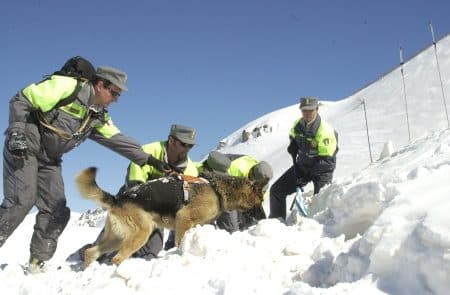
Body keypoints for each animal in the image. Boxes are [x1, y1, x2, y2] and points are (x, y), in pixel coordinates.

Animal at [75, 168, 268, 268]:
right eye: (260, 201)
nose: (265, 218)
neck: (217, 189)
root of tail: (117, 199)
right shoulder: (184, 218)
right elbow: (180, 242)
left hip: (117, 238)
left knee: (91, 252)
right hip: (141, 234)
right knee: (116, 258)